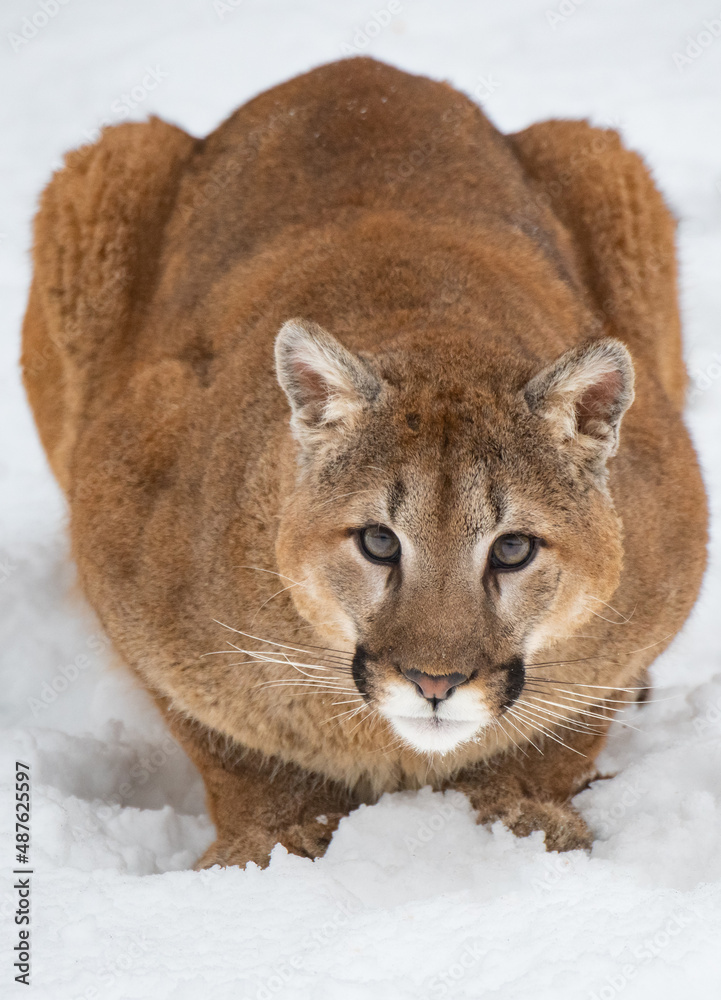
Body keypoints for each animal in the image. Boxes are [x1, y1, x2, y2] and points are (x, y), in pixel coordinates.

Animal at [21, 57, 707, 867]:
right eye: (379, 541)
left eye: (512, 550)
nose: (435, 683)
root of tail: (355, 69)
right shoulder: (120, 527)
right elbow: (229, 744)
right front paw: (273, 839)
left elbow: (569, 725)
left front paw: (522, 809)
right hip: (106, 167)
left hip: (604, 160)